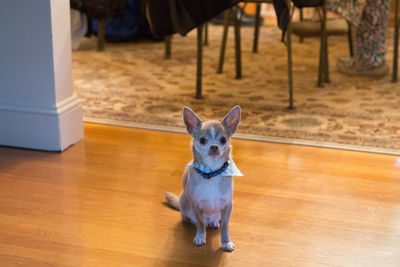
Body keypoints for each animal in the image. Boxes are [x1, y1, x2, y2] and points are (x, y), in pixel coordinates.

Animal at [164, 105, 242, 252]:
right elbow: (200, 223)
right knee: (196, 220)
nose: (214, 146)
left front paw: (226, 242)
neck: (212, 172)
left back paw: (214, 223)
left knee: (216, 222)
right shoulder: (195, 205)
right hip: (184, 201)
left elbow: (225, 227)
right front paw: (200, 236)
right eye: (202, 140)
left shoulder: (228, 205)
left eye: (223, 140)